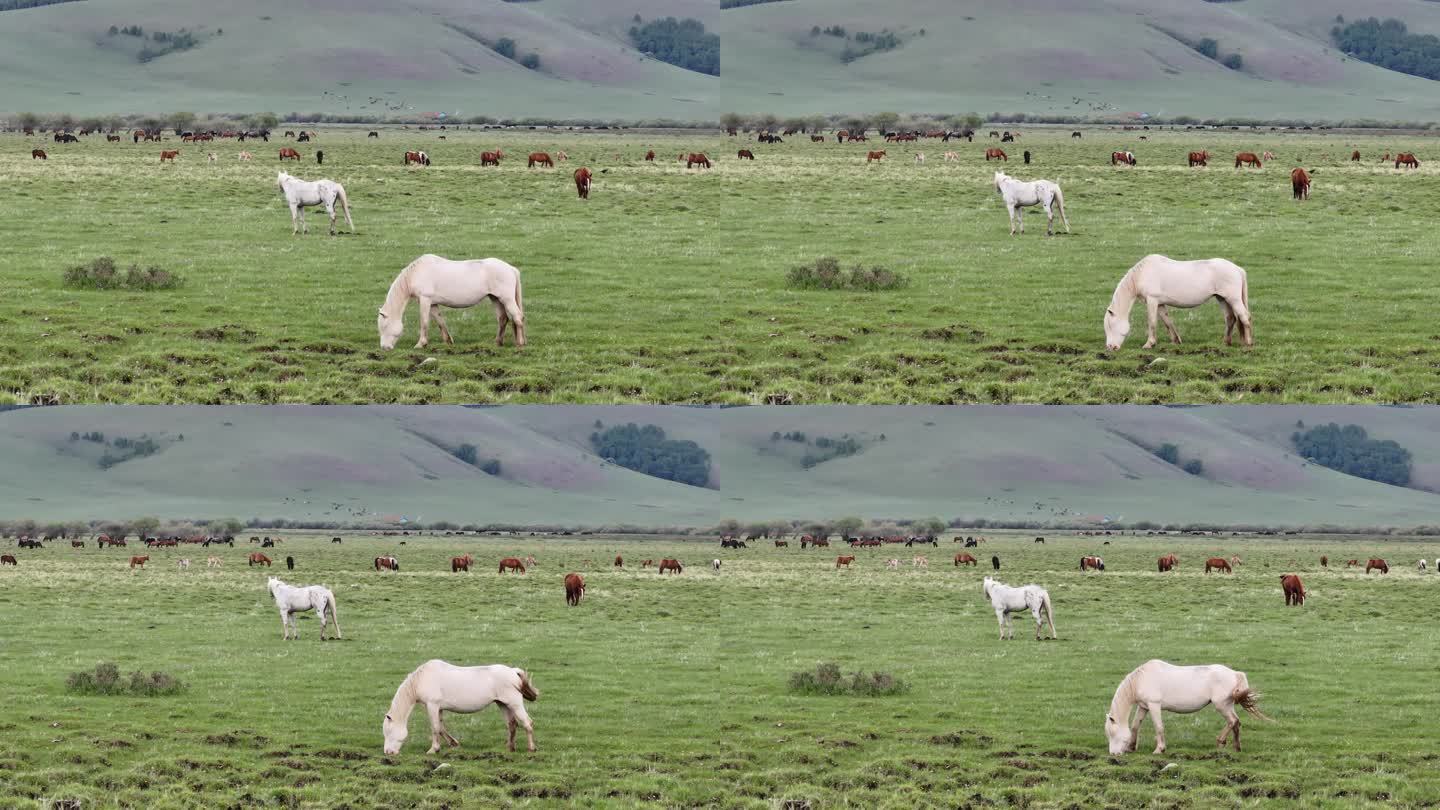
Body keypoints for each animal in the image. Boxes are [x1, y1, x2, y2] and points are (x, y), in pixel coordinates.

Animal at [377, 253, 524, 348]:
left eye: (384, 326)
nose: (384, 348)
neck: (417, 273)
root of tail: (511, 268)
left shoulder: (425, 300)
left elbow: (424, 322)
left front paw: (420, 344)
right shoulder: (433, 303)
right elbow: (440, 321)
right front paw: (448, 341)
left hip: (506, 299)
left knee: (517, 317)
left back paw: (520, 343)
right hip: (495, 299)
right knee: (503, 319)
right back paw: (498, 342)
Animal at [383, 660, 541, 755]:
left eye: (388, 732)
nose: (388, 752)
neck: (423, 679)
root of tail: (513, 671)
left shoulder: (432, 705)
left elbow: (435, 728)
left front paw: (433, 749)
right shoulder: (439, 708)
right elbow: (441, 728)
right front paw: (453, 744)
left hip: (514, 704)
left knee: (527, 723)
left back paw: (531, 748)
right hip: (503, 704)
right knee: (512, 724)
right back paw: (510, 748)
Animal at [1100, 255, 1249, 350]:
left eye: (1110, 326)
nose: (1110, 347)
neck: (1142, 274)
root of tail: (1238, 269)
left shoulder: (1152, 300)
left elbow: (1152, 322)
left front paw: (1149, 344)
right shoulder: (1160, 304)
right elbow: (1167, 322)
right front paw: (1175, 341)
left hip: (1233, 299)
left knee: (1244, 317)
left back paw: (1248, 343)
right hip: (1222, 299)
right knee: (1230, 319)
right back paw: (1226, 343)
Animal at [1105, 660, 1267, 755]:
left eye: (1112, 733)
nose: (1113, 754)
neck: (1142, 679)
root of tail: (1235, 674)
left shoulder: (1154, 705)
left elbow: (1159, 727)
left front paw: (1159, 749)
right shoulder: (1144, 706)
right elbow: (1135, 726)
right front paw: (1131, 747)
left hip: (1221, 705)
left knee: (1232, 721)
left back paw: (1220, 742)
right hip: (1227, 705)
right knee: (1236, 723)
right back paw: (1236, 747)